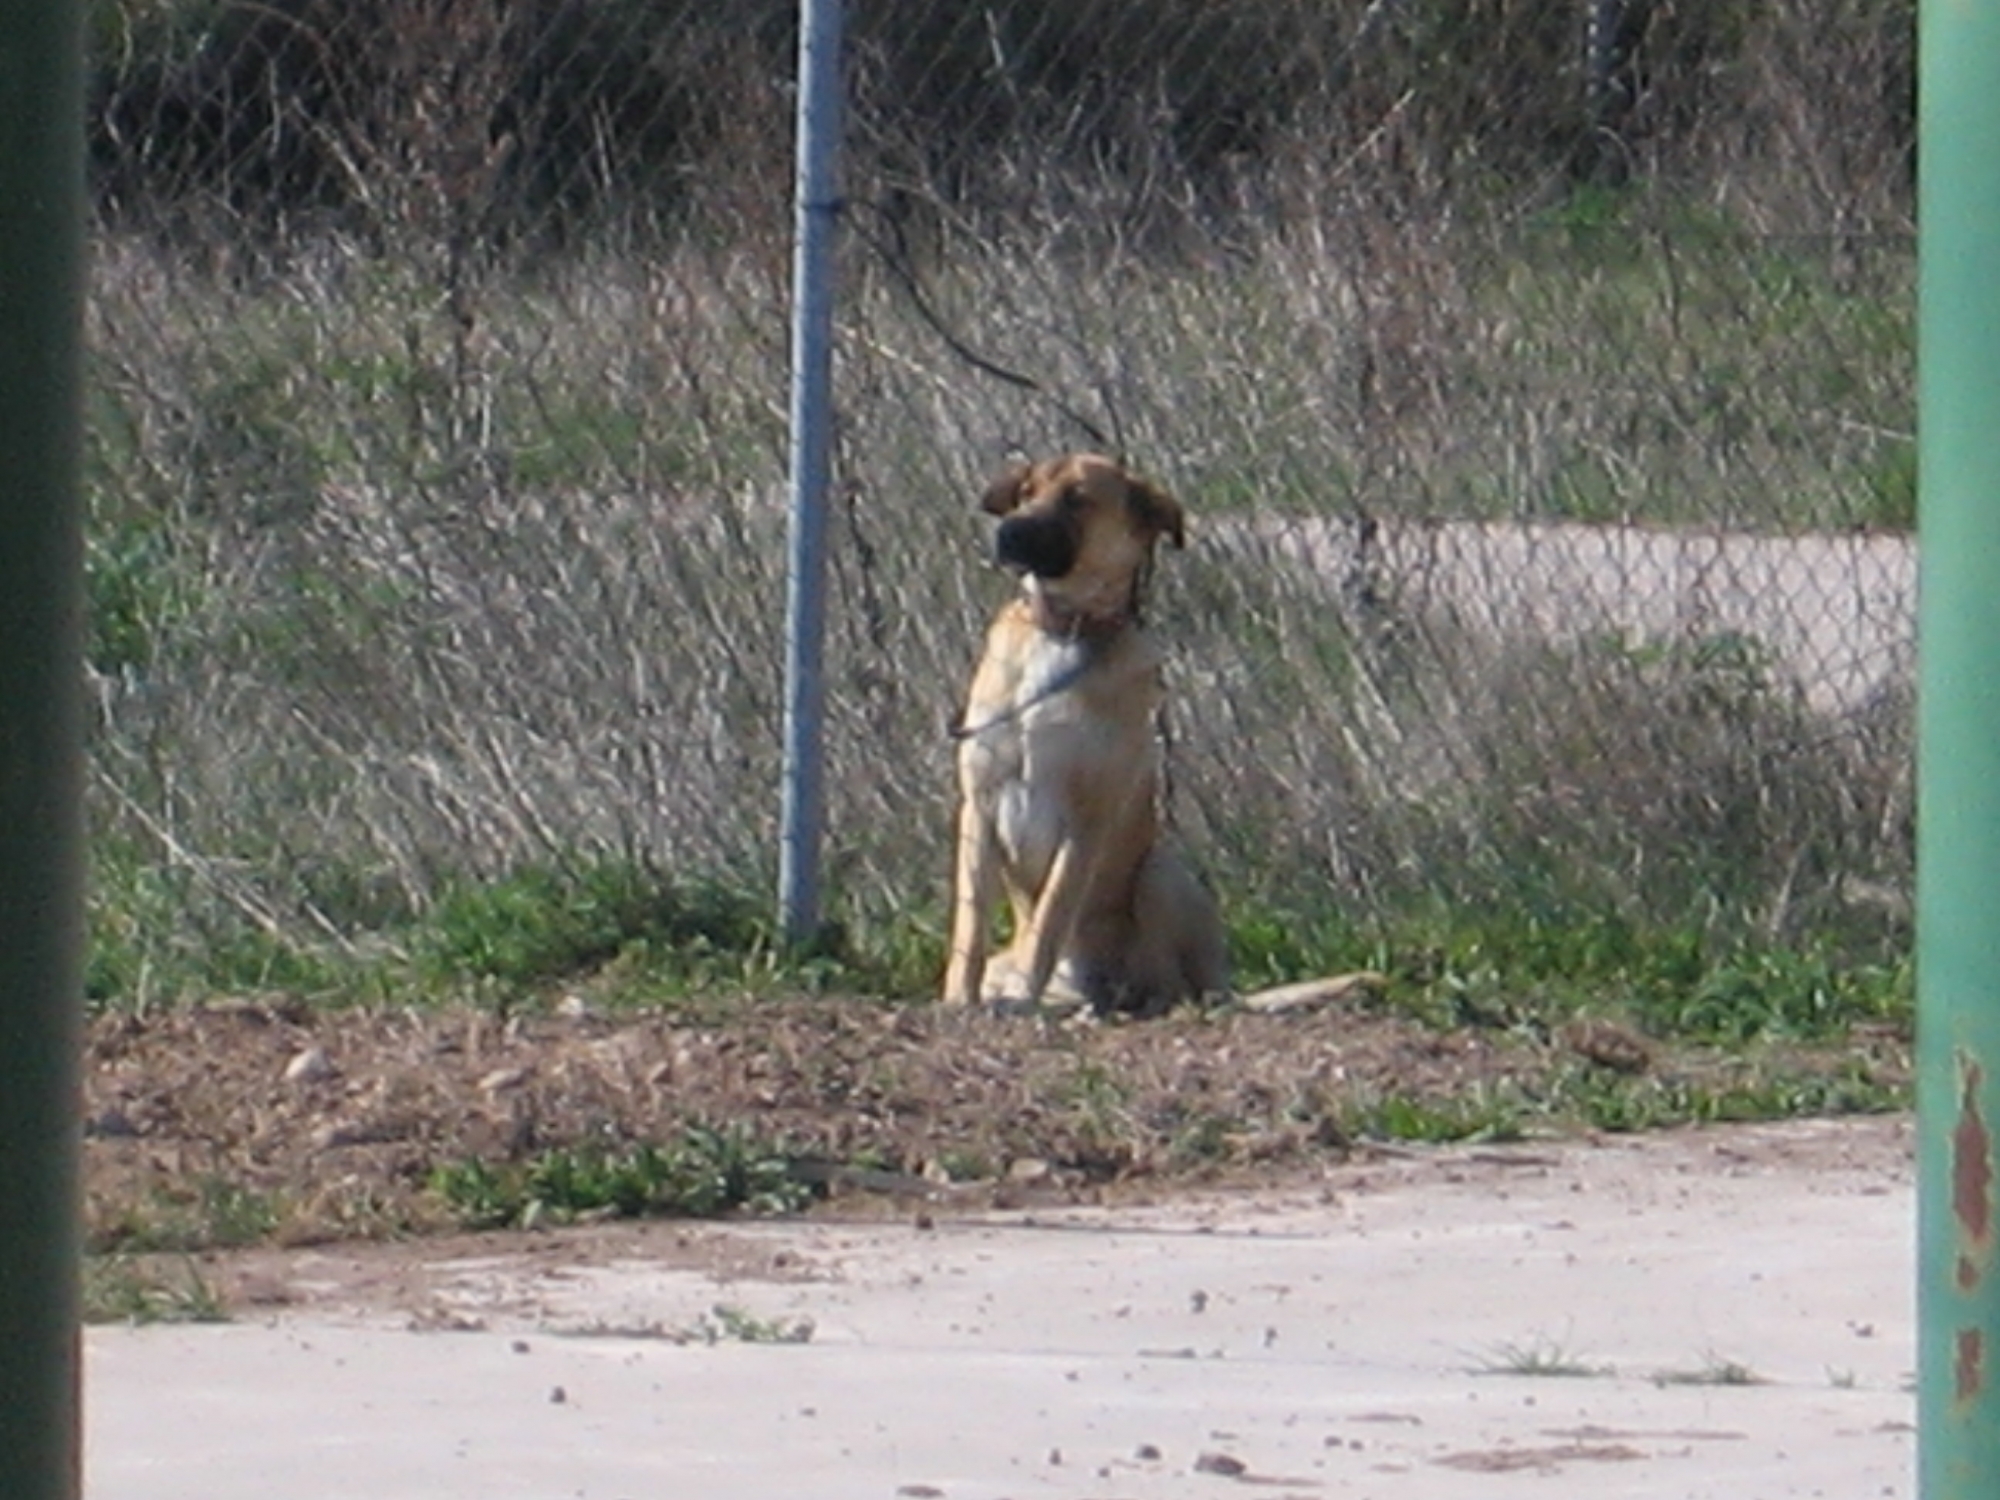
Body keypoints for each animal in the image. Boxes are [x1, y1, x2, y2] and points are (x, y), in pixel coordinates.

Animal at [940, 452, 1232, 1016]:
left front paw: (1022, 993)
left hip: (1160, 871)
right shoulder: (979, 806)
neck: (1061, 632)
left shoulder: (1086, 820)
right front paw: (957, 1000)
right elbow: (970, 922)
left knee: (1173, 985)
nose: (1007, 533)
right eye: (1025, 491)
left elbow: (1052, 914)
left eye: (1078, 498)